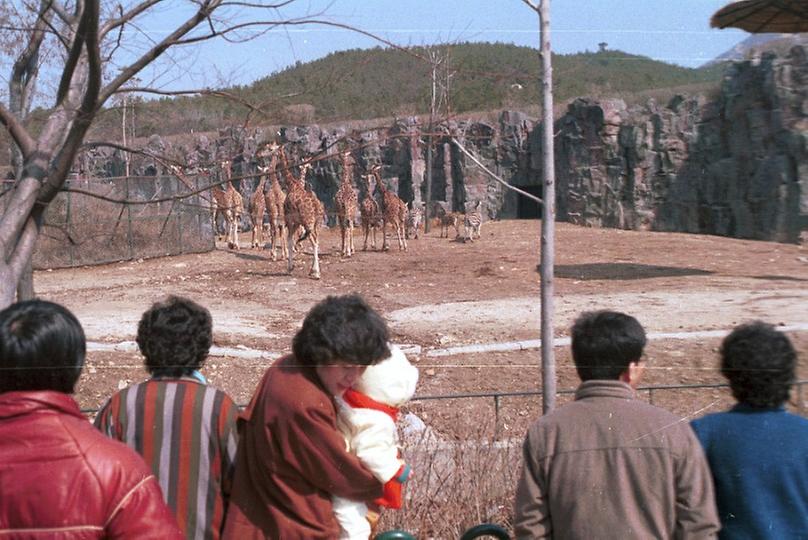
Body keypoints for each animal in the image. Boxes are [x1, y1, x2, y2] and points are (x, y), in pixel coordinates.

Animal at [278, 148, 322, 280]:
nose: (310, 167)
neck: (292, 184)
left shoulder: (290, 219)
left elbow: (290, 239)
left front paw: (290, 267)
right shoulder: (296, 222)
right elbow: (292, 238)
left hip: (309, 223)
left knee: (314, 241)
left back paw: (316, 273)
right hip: (314, 224)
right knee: (315, 240)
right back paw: (314, 271)